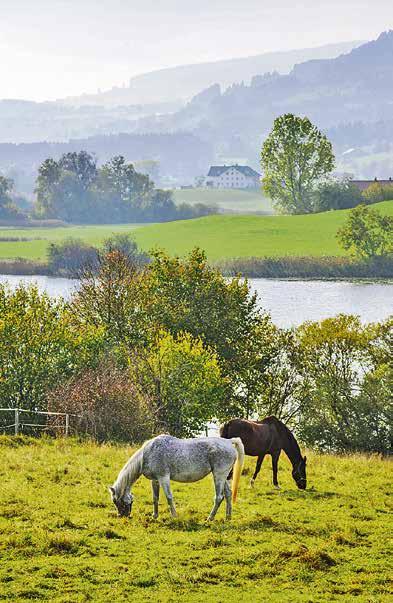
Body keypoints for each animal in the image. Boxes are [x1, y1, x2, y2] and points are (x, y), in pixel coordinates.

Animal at [108, 436, 243, 520]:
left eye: (115, 501)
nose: (122, 515)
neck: (147, 454)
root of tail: (229, 442)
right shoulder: (155, 480)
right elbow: (155, 498)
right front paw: (154, 516)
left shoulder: (163, 478)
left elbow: (169, 497)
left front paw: (174, 516)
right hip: (223, 477)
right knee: (228, 494)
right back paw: (228, 517)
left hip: (219, 476)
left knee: (219, 497)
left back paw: (210, 518)